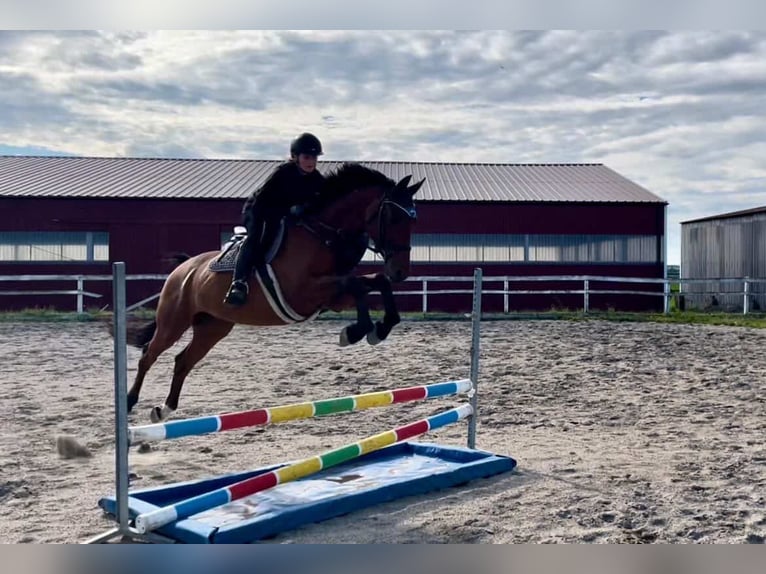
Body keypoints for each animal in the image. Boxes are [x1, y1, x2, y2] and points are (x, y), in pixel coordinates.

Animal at [123, 163, 424, 423]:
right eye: (393, 216)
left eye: (413, 221)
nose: (401, 271)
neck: (322, 235)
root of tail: (183, 268)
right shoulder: (304, 293)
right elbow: (359, 285)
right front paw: (356, 332)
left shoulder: (331, 297)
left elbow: (374, 282)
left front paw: (378, 329)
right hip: (174, 321)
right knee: (149, 355)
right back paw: (129, 402)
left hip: (213, 326)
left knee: (182, 360)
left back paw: (164, 409)